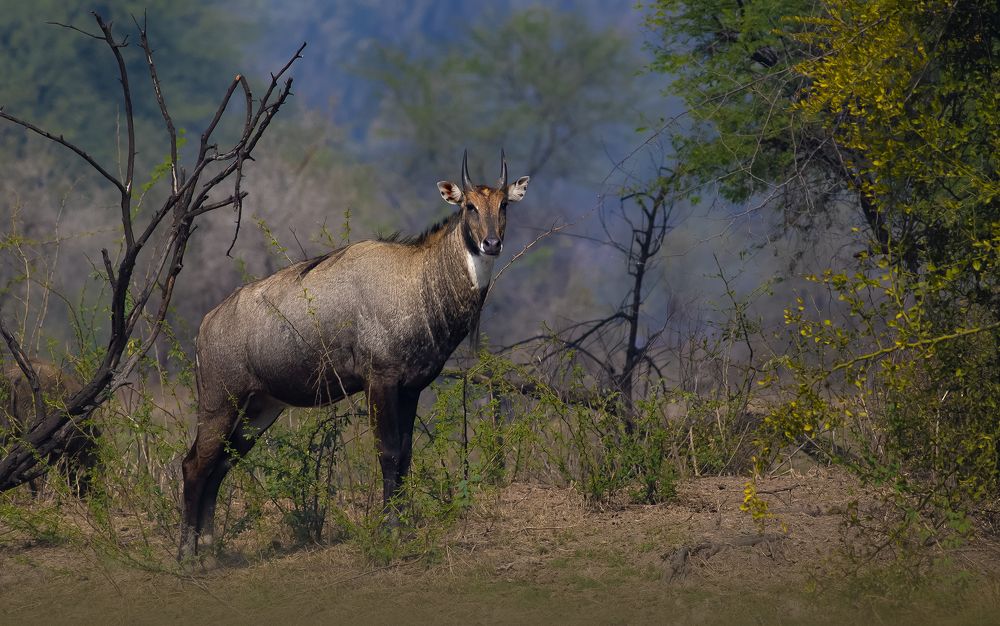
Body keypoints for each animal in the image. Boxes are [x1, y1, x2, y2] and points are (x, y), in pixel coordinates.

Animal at [179, 151, 530, 559]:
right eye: (469, 206)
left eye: (504, 204)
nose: (491, 243)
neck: (418, 280)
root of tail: (205, 326)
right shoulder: (380, 380)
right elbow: (389, 453)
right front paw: (390, 530)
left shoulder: (411, 387)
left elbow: (406, 454)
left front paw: (404, 525)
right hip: (220, 403)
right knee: (194, 465)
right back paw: (187, 556)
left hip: (258, 409)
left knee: (219, 465)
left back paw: (208, 552)